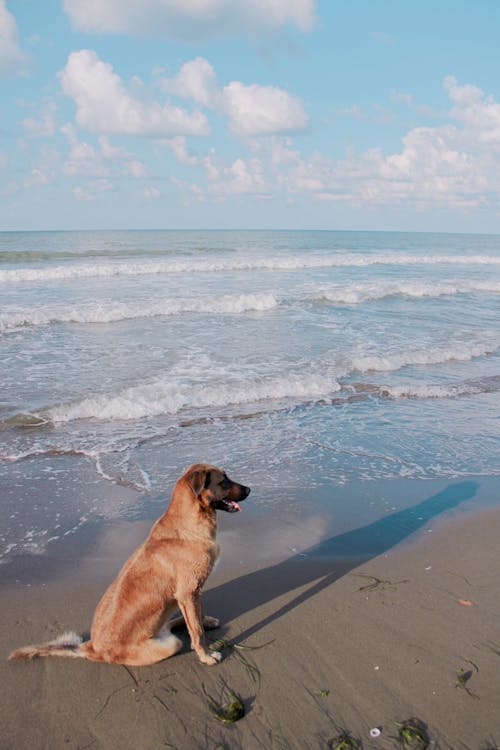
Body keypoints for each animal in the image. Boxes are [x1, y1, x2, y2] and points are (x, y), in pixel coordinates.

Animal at [7, 464, 250, 668]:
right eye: (224, 481)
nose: (249, 489)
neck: (189, 523)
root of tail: (92, 648)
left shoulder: (192, 593)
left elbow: (198, 617)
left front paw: (204, 621)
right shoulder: (189, 592)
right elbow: (197, 632)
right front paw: (206, 655)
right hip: (169, 643)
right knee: (180, 635)